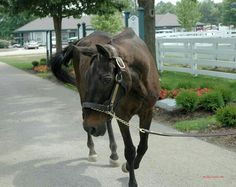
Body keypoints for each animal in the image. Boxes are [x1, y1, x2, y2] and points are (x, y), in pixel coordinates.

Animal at [50, 28, 159, 187]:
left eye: (107, 79)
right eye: (87, 77)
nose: (91, 127)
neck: (138, 83)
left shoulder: (147, 112)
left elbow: (143, 146)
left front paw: (130, 166)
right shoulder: (122, 115)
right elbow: (130, 150)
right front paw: (131, 177)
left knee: (106, 121)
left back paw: (113, 154)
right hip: (83, 94)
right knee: (85, 115)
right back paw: (92, 150)